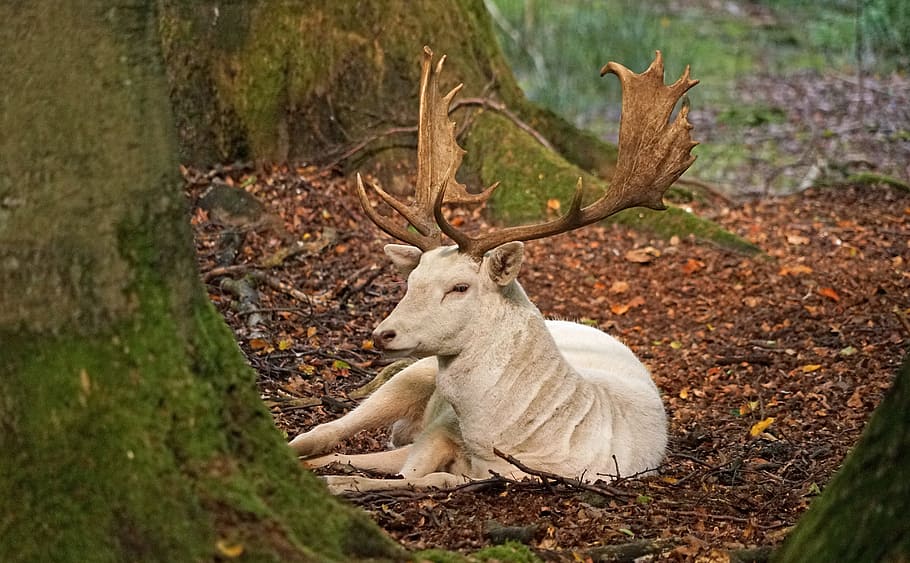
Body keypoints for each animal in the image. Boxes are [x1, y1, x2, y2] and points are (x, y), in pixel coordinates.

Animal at [289, 46, 698, 493]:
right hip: (412, 373)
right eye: (410, 281)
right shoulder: (440, 429)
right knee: (325, 431)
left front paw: (338, 482)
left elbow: (424, 479)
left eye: (460, 287)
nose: (383, 334)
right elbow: (406, 470)